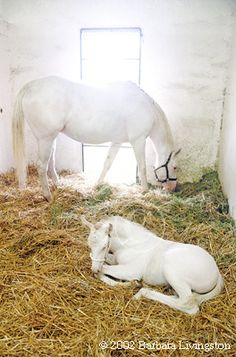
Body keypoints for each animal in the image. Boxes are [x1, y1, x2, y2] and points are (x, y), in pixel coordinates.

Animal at [11, 77, 181, 200]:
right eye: (174, 167)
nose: (173, 189)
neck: (146, 107)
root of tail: (31, 86)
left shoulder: (117, 142)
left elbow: (107, 164)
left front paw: (97, 184)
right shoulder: (138, 140)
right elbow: (143, 167)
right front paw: (145, 191)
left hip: (50, 139)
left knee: (50, 163)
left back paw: (58, 185)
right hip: (45, 138)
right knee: (41, 166)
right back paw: (48, 196)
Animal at [82, 214, 224, 314]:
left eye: (104, 245)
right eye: (89, 245)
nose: (94, 268)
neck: (131, 244)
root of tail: (217, 273)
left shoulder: (130, 270)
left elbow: (105, 269)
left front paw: (132, 283)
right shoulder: (115, 259)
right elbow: (103, 265)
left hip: (172, 270)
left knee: (188, 303)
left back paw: (142, 293)